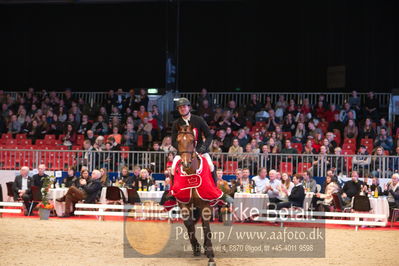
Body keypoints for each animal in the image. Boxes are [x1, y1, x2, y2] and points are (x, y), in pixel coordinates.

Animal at [174, 124, 217, 266]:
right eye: (178, 141)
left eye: (192, 141)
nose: (185, 163)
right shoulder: (183, 204)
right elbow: (189, 224)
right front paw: (196, 247)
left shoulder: (205, 205)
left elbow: (206, 227)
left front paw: (210, 256)